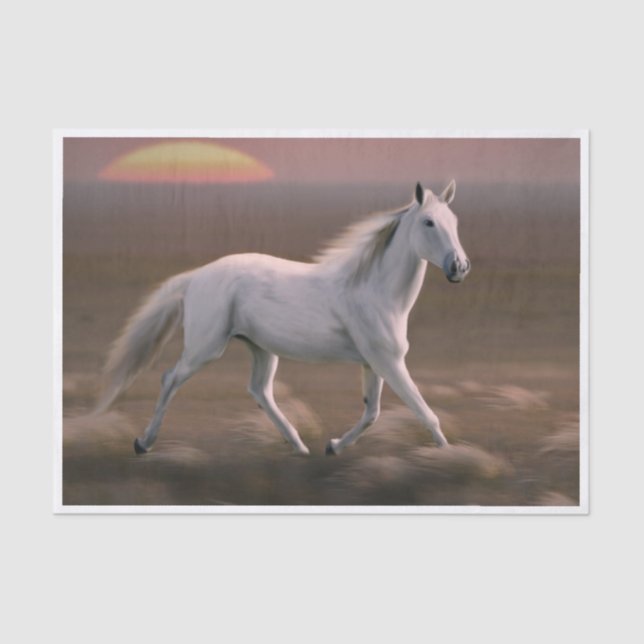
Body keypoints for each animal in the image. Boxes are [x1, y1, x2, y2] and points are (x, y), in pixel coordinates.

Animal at [96, 180, 471, 456]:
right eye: (428, 222)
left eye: (455, 222)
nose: (459, 267)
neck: (374, 290)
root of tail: (197, 276)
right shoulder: (389, 363)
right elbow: (425, 413)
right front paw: (448, 454)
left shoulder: (374, 363)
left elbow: (372, 412)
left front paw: (333, 447)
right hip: (205, 348)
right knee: (170, 379)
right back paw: (143, 443)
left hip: (261, 349)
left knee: (260, 390)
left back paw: (299, 447)